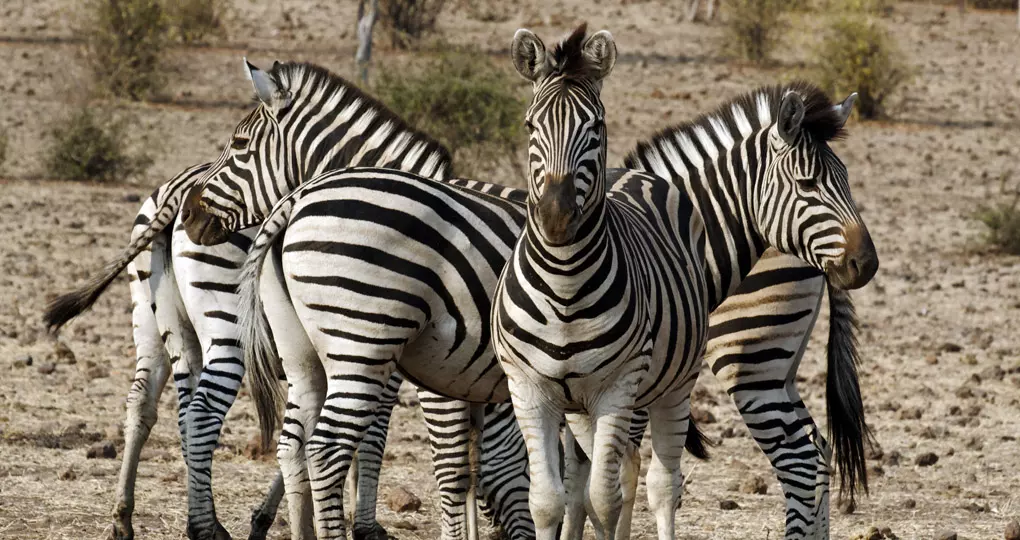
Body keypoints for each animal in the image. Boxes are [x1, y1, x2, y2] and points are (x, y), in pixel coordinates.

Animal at [41, 66, 521, 540]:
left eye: (238, 145)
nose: (195, 215)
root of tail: (176, 192)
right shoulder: (388, 348)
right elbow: (372, 437)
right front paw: (361, 524)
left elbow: (310, 438)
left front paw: (280, 516)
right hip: (228, 324)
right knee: (200, 414)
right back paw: (205, 527)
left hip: (152, 315)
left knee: (145, 402)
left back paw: (126, 518)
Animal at [178, 54, 878, 540]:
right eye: (814, 183)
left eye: (237, 147)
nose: (189, 214)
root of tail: (298, 203)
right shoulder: (497, 381)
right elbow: (520, 479)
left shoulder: (484, 382)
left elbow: (507, 478)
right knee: (811, 454)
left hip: (751, 362)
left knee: (803, 459)